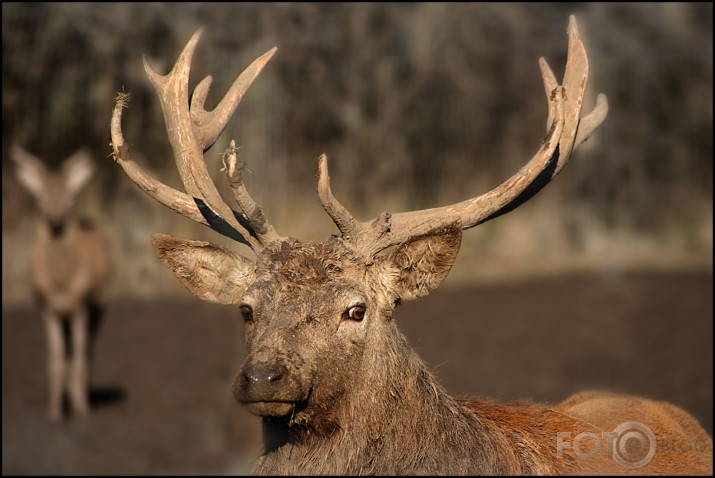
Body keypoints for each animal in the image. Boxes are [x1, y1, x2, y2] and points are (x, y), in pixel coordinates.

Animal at [11, 147, 112, 422]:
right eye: (39, 199)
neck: (61, 285)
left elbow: (78, 361)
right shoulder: (47, 309)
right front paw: (55, 413)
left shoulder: (81, 307)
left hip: (99, 306)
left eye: (71, 199)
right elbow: (55, 362)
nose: (56, 222)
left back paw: (83, 396)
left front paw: (81, 411)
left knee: (87, 352)